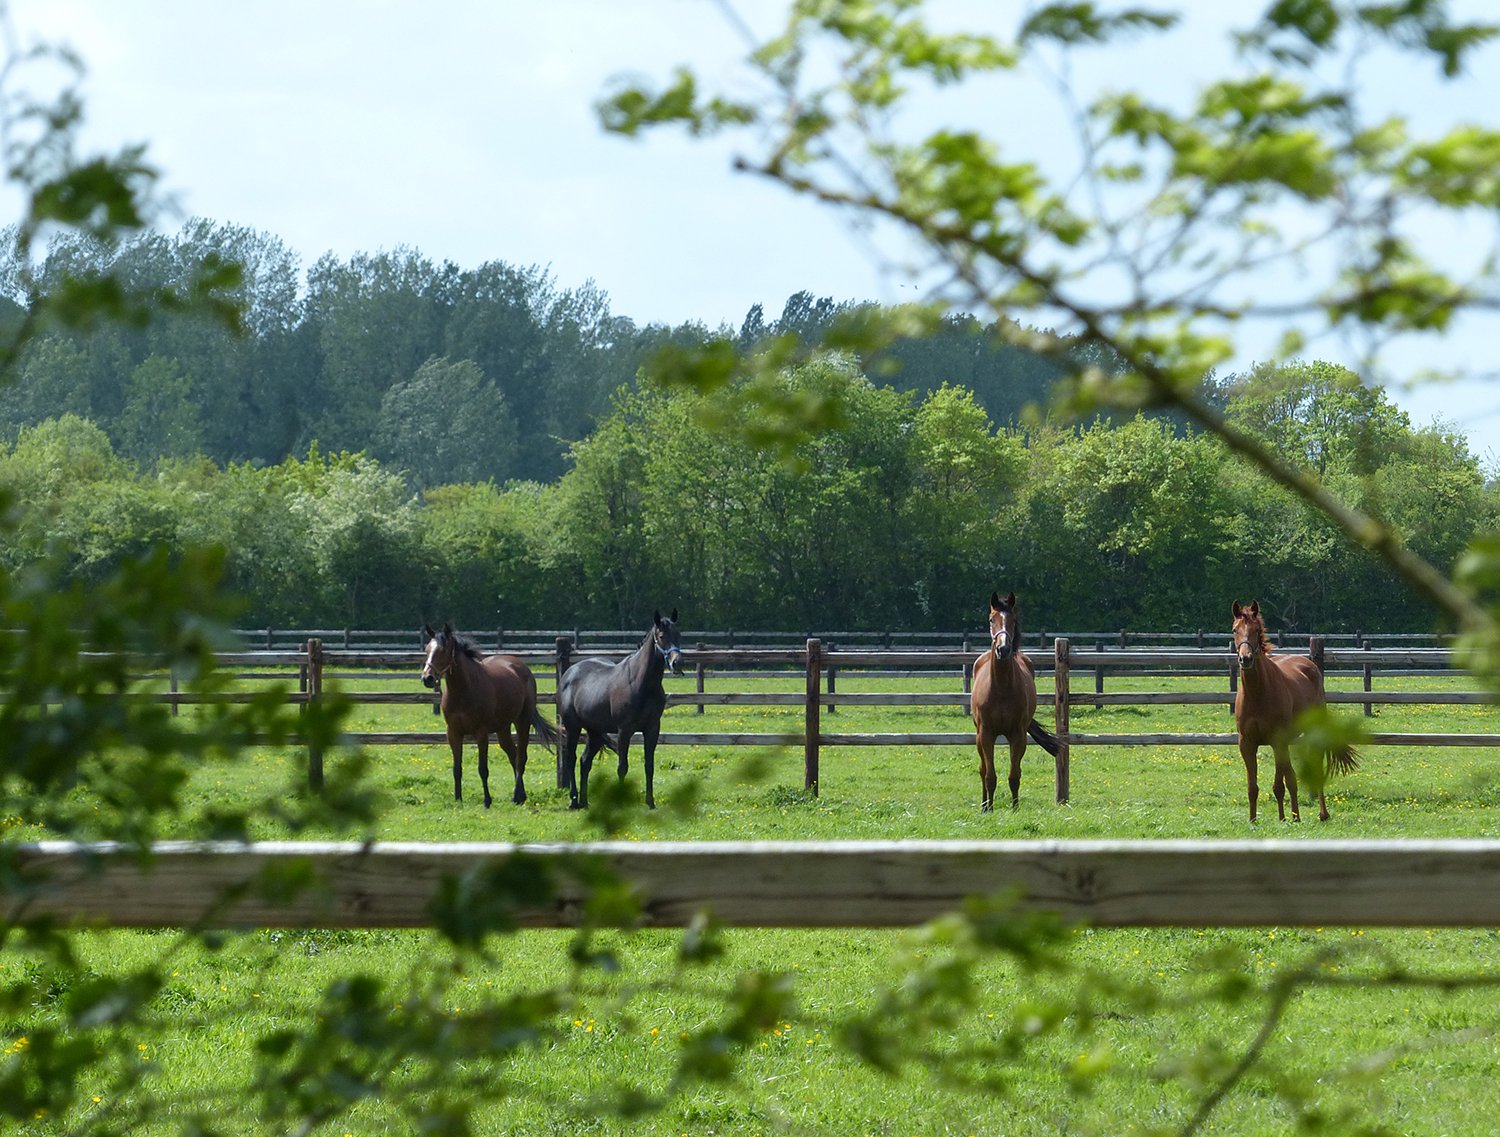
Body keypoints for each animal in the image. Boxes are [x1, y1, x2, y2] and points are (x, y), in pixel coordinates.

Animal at [420, 623, 558, 808]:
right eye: (427, 650)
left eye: (443, 650)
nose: (427, 678)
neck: (463, 691)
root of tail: (520, 666)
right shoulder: (453, 733)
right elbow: (457, 769)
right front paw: (458, 799)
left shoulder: (482, 733)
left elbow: (482, 769)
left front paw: (487, 800)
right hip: (503, 729)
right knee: (513, 755)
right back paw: (520, 795)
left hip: (522, 722)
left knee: (521, 758)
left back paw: (517, 796)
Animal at [558, 609, 683, 810]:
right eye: (661, 636)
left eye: (679, 635)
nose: (677, 663)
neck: (641, 683)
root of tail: (569, 673)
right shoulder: (624, 730)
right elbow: (622, 767)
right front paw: (621, 802)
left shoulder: (652, 729)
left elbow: (649, 766)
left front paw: (650, 802)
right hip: (573, 728)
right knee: (571, 759)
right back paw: (574, 800)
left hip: (595, 732)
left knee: (585, 762)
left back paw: (584, 801)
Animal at [970, 591, 1061, 810]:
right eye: (991, 619)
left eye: (1013, 620)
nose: (1003, 649)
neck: (1001, 688)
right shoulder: (986, 734)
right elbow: (990, 776)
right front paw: (989, 809)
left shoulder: (1018, 735)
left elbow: (1014, 776)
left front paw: (1015, 808)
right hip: (979, 736)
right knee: (982, 769)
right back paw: (984, 805)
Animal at [1231, 600, 1358, 822]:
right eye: (1234, 630)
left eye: (1257, 630)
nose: (1245, 659)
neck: (1258, 693)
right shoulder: (1246, 743)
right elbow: (1253, 787)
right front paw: (1254, 821)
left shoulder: (1277, 740)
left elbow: (1279, 785)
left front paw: (1284, 820)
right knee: (1290, 776)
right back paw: (1295, 815)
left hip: (1307, 735)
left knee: (1308, 771)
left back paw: (1320, 814)